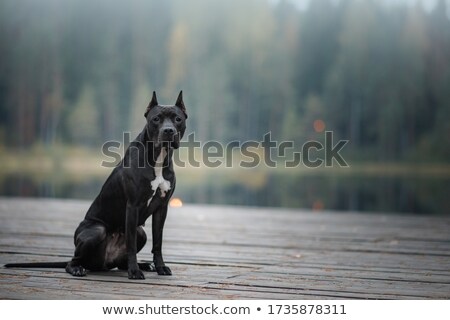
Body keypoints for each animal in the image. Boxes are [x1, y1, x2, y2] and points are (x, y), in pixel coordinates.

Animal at [5, 91, 185, 278]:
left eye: (177, 119)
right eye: (156, 119)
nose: (168, 130)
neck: (158, 158)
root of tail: (105, 262)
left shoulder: (161, 208)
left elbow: (158, 242)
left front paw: (160, 267)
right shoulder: (133, 206)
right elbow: (131, 245)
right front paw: (134, 271)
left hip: (140, 233)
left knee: (122, 262)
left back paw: (143, 265)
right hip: (96, 231)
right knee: (73, 261)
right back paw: (77, 268)